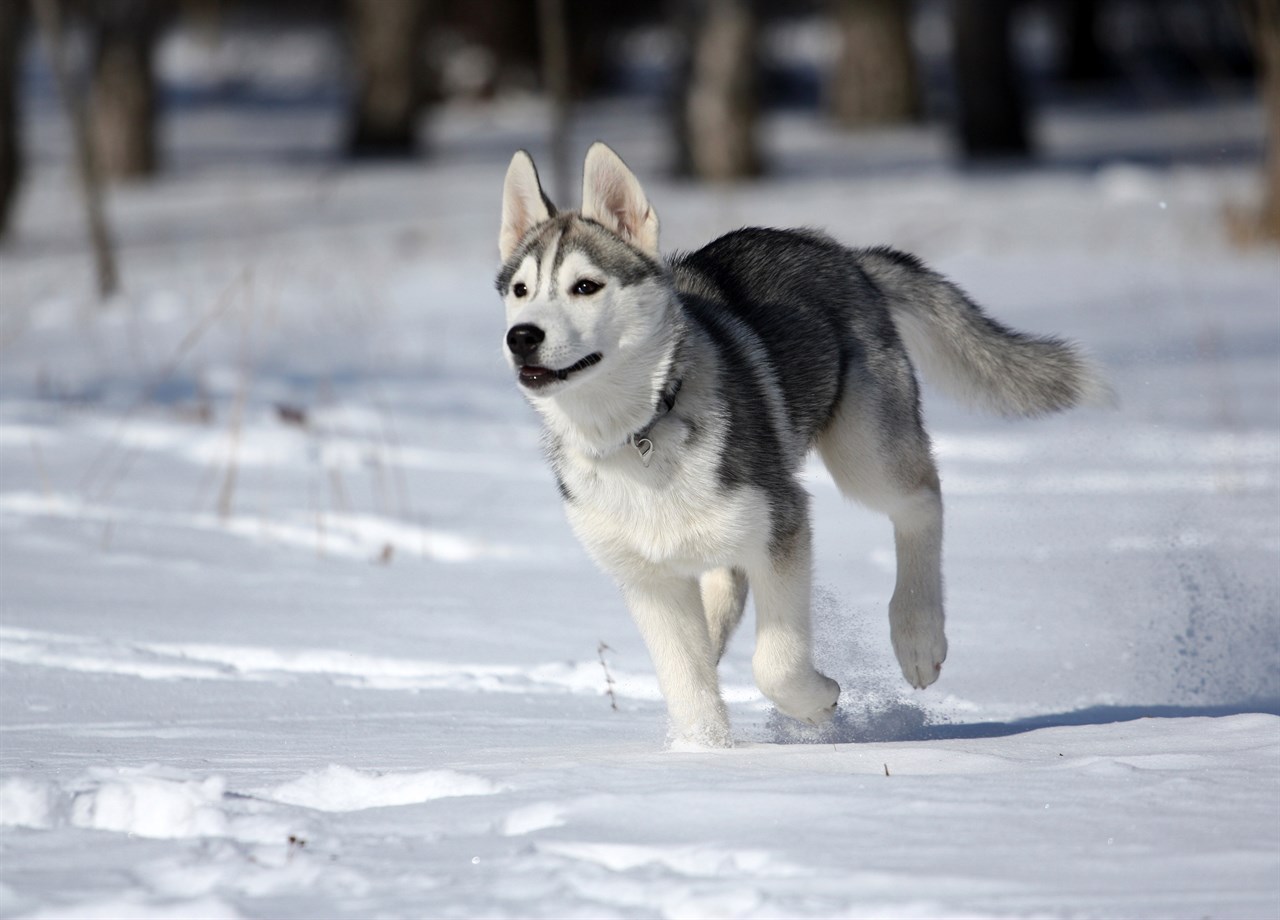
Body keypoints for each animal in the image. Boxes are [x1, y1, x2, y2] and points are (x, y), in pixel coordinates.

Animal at [499, 143, 1111, 747]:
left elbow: (776, 665)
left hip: (864, 453)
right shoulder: (648, 579)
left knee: (922, 499)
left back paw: (917, 635)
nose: (521, 336)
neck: (639, 431)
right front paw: (701, 753)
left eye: (585, 286)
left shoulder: (784, 526)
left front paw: (819, 705)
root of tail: (837, 251)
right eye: (520, 290)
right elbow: (687, 682)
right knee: (722, 597)